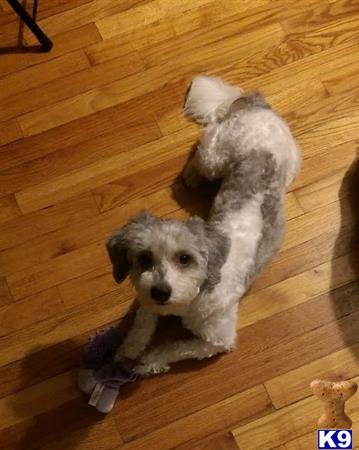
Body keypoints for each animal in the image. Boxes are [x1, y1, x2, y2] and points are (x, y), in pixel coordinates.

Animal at [107, 75, 300, 374]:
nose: (161, 291)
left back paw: (190, 175)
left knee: (205, 142)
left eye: (185, 258)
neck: (190, 298)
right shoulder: (146, 296)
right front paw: (128, 348)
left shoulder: (217, 340)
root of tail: (259, 105)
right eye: (144, 258)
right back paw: (190, 176)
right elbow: (142, 322)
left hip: (236, 158)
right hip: (224, 158)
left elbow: (175, 347)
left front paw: (148, 360)